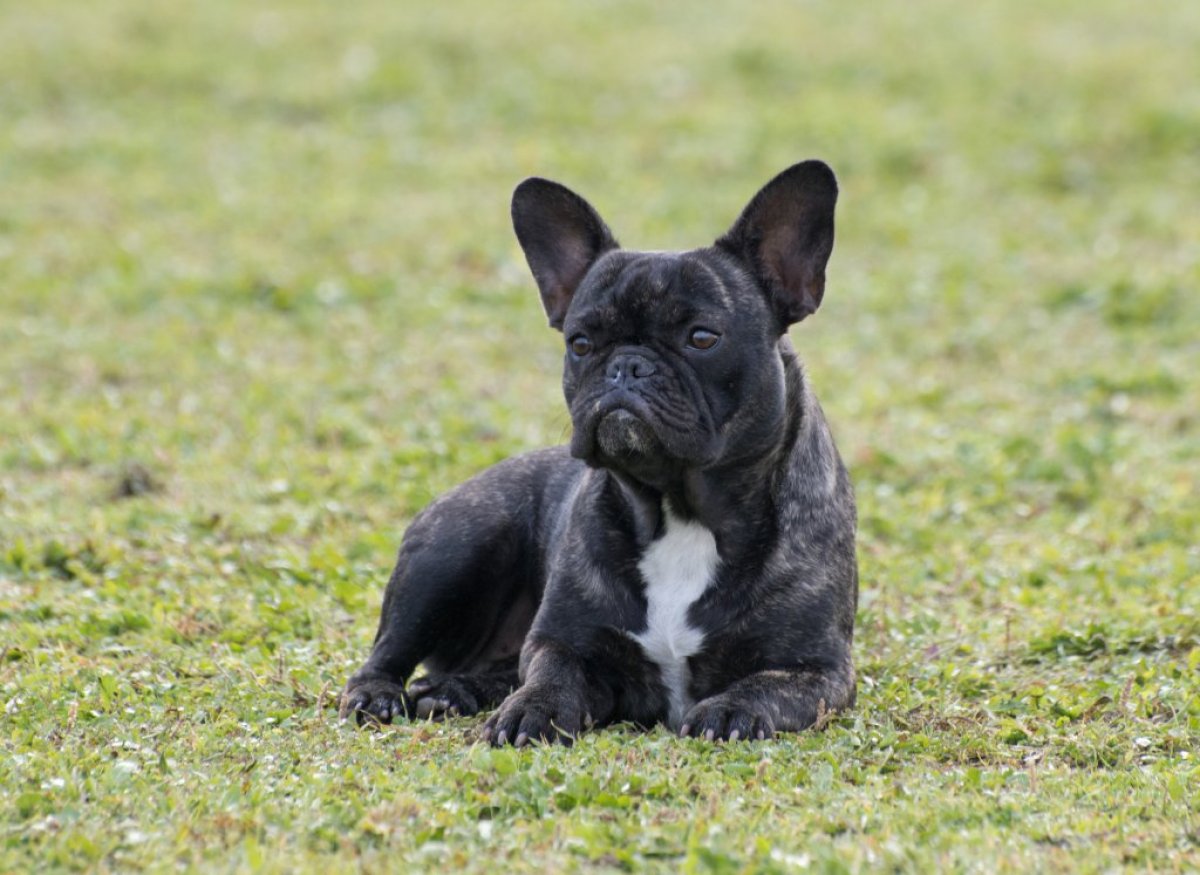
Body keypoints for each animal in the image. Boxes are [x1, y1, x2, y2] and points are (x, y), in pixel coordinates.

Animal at [343, 158, 859, 744]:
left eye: (702, 338)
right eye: (580, 343)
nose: (627, 365)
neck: (678, 510)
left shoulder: (817, 670)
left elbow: (765, 686)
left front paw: (731, 709)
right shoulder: (561, 641)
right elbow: (551, 673)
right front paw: (532, 709)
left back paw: (456, 691)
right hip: (455, 545)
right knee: (389, 650)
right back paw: (380, 694)